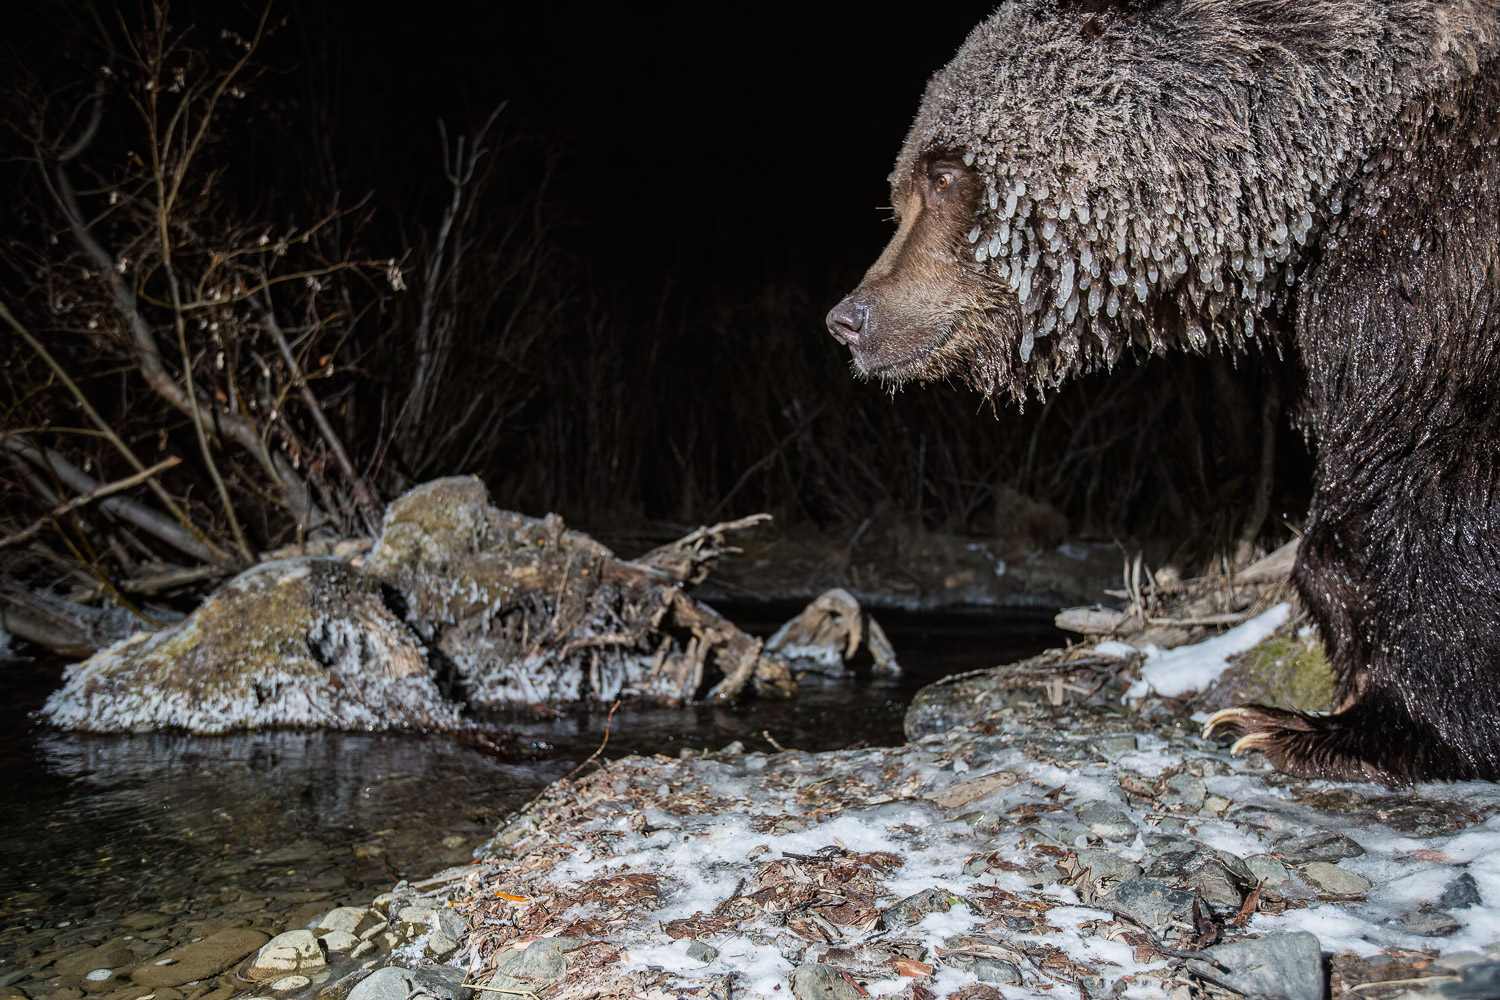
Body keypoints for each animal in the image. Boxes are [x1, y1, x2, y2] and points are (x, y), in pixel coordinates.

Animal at [828, 0, 1500, 779]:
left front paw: (1329, 724)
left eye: (941, 174)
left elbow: (1420, 469)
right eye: (901, 187)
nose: (849, 318)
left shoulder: (1437, 239)